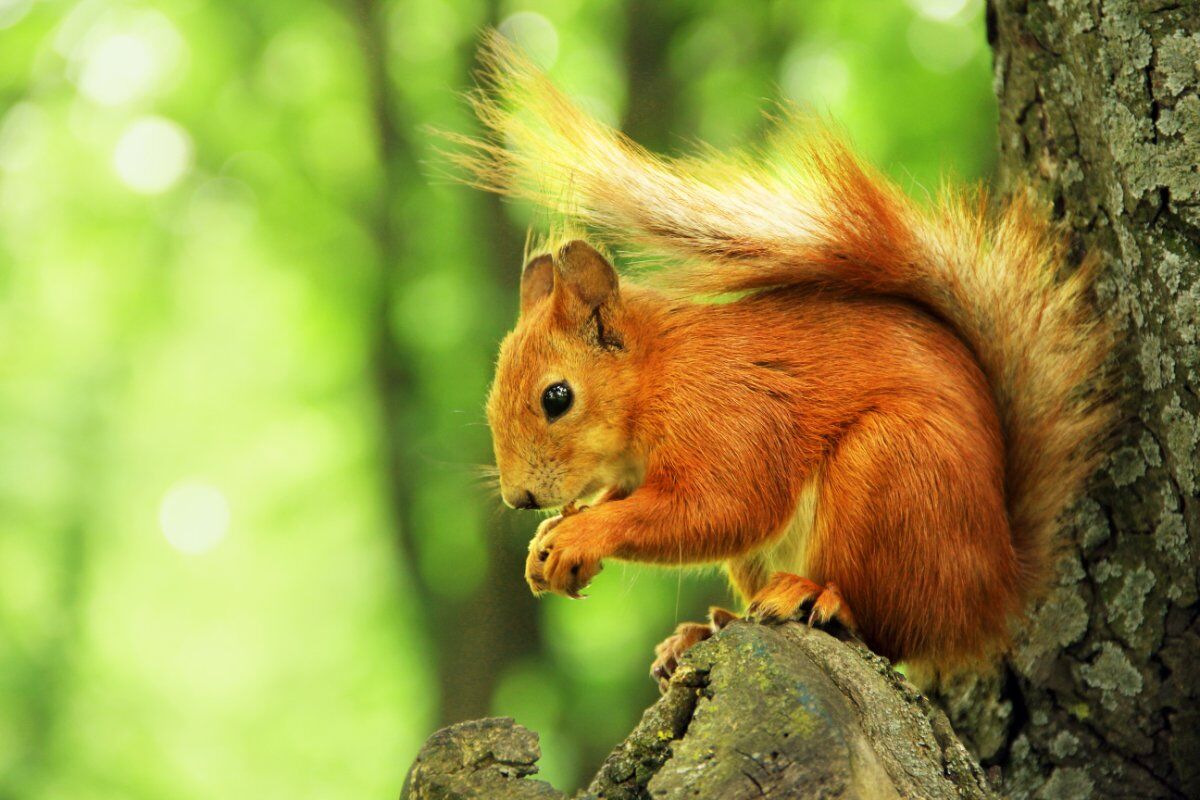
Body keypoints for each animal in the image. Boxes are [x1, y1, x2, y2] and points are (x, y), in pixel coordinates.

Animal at [453, 37, 1108, 686]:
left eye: (556, 398)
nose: (520, 500)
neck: (656, 377)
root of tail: (996, 589)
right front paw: (548, 540)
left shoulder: (726, 419)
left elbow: (718, 509)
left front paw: (581, 533)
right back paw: (704, 629)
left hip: (892, 473)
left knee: (887, 626)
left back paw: (815, 595)